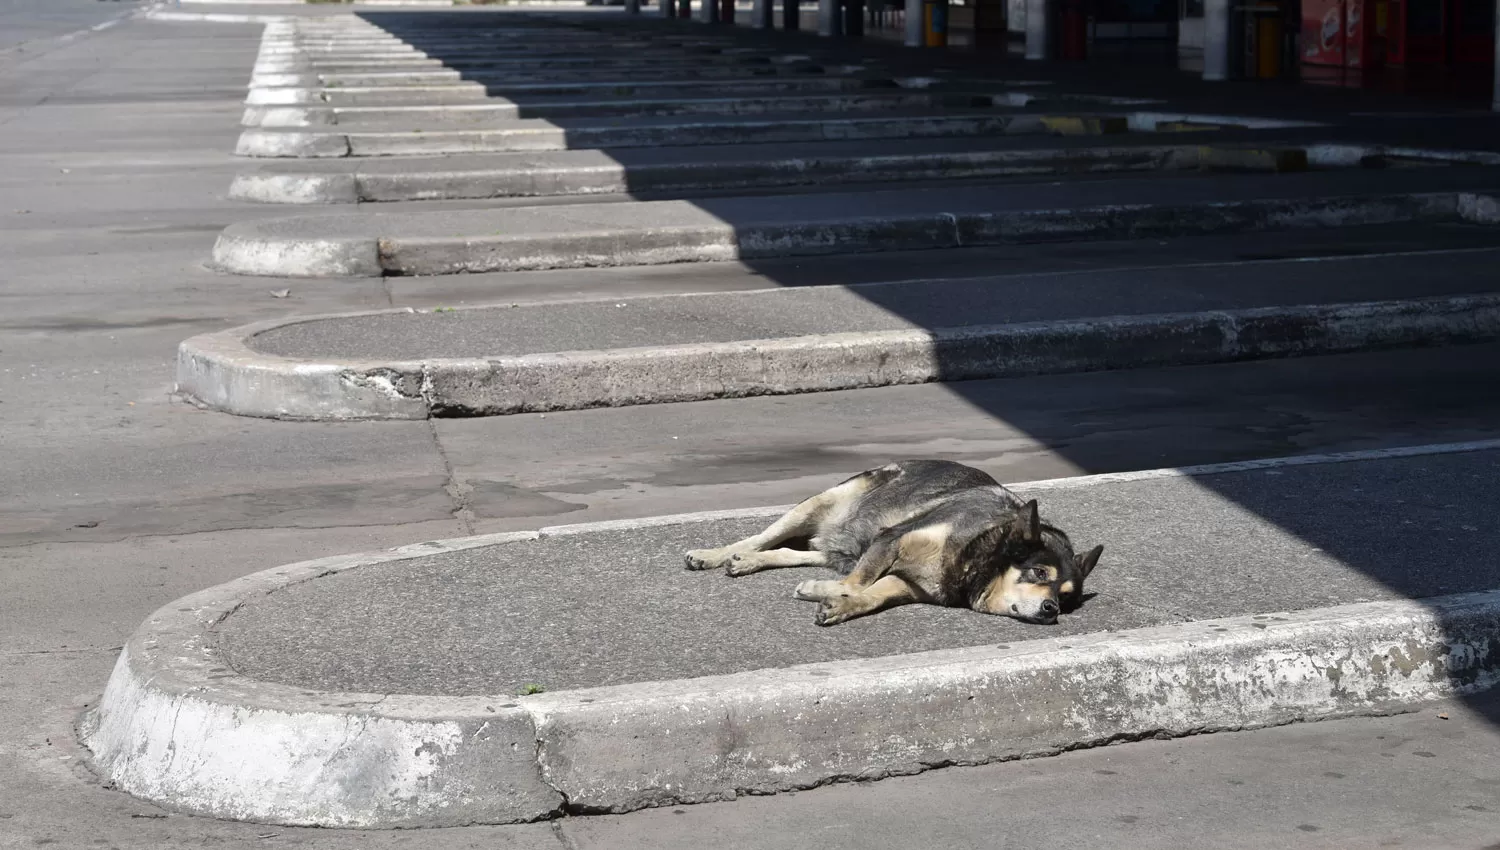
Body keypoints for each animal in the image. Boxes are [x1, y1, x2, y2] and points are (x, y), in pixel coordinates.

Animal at [684, 461, 1104, 629]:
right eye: (1039, 572)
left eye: (1066, 598)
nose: (1052, 609)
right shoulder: (892, 540)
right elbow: (858, 582)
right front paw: (833, 593)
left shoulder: (909, 583)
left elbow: (871, 594)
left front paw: (840, 604)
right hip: (818, 504)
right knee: (759, 537)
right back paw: (716, 554)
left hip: (843, 547)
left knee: (793, 552)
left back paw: (749, 561)